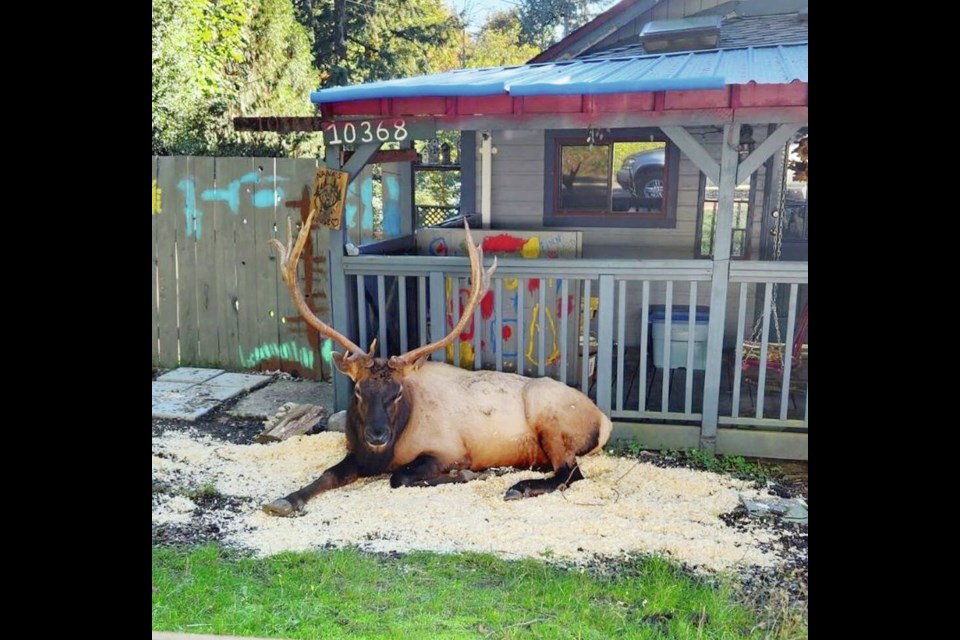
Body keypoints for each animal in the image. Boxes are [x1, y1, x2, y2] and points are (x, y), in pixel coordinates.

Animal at [258, 210, 612, 516]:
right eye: (358, 390)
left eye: (397, 393)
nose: (377, 435)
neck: (385, 450)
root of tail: (604, 420)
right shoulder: (355, 454)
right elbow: (327, 475)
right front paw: (285, 499)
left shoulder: (448, 449)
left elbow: (400, 477)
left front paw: (469, 475)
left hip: (550, 417)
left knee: (571, 472)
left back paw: (518, 486)